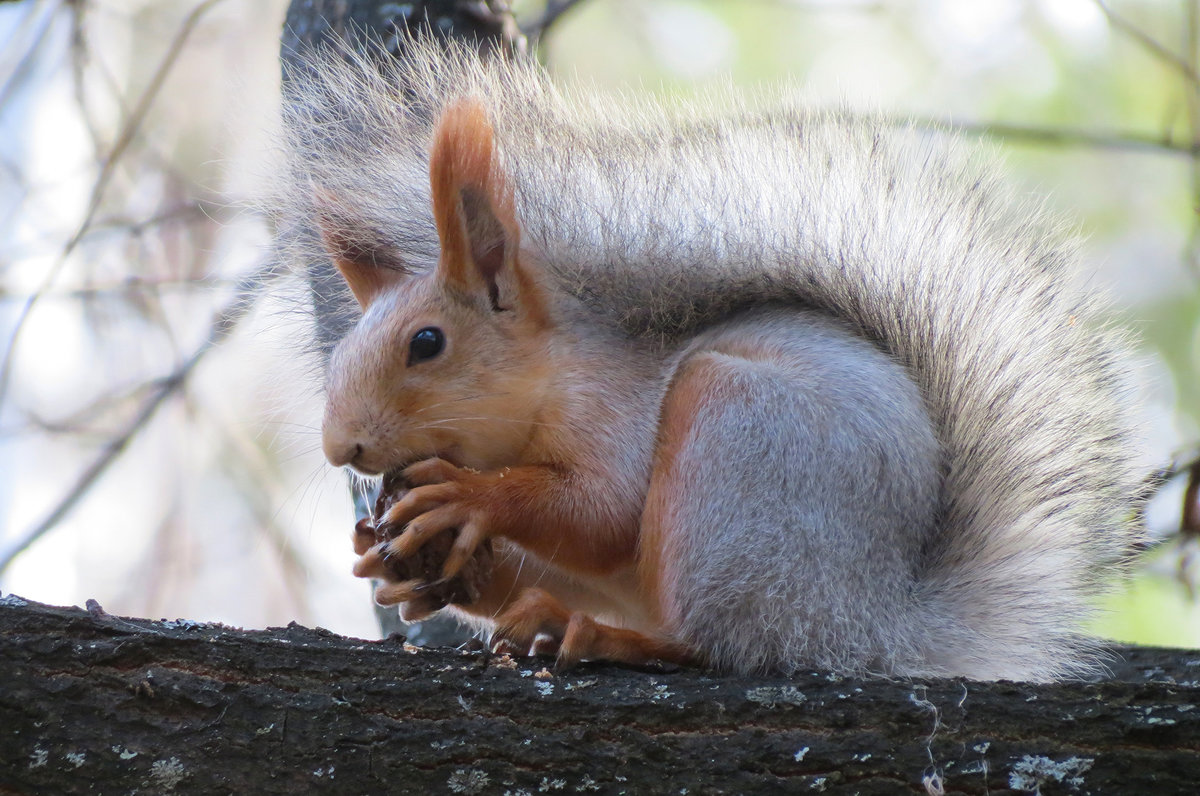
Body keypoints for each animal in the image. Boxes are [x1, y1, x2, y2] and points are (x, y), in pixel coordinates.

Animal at [276, 40, 1147, 681]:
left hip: (735, 455)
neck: (548, 384)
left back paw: (602, 636)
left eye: (427, 343)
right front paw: (420, 563)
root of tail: (874, 627)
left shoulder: (613, 412)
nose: (341, 447)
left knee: (723, 645)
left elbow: (601, 512)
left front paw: (469, 498)